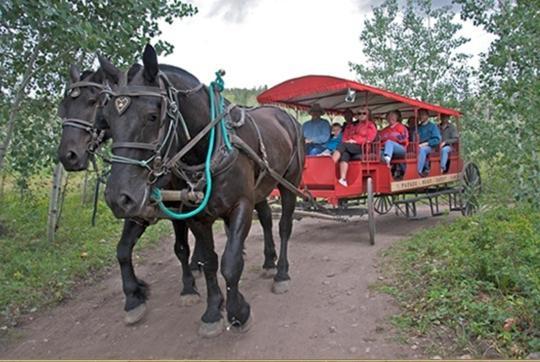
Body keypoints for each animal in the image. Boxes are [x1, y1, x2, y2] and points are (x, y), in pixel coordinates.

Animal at [100, 44, 304, 336]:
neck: (209, 148)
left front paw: (238, 311)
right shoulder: (194, 214)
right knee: (266, 217)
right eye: (107, 118)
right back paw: (268, 262)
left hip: (289, 183)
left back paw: (281, 273)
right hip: (261, 187)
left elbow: (231, 262)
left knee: (284, 226)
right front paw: (213, 310)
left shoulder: (241, 205)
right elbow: (208, 261)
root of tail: (285, 116)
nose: (118, 198)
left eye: (152, 116)